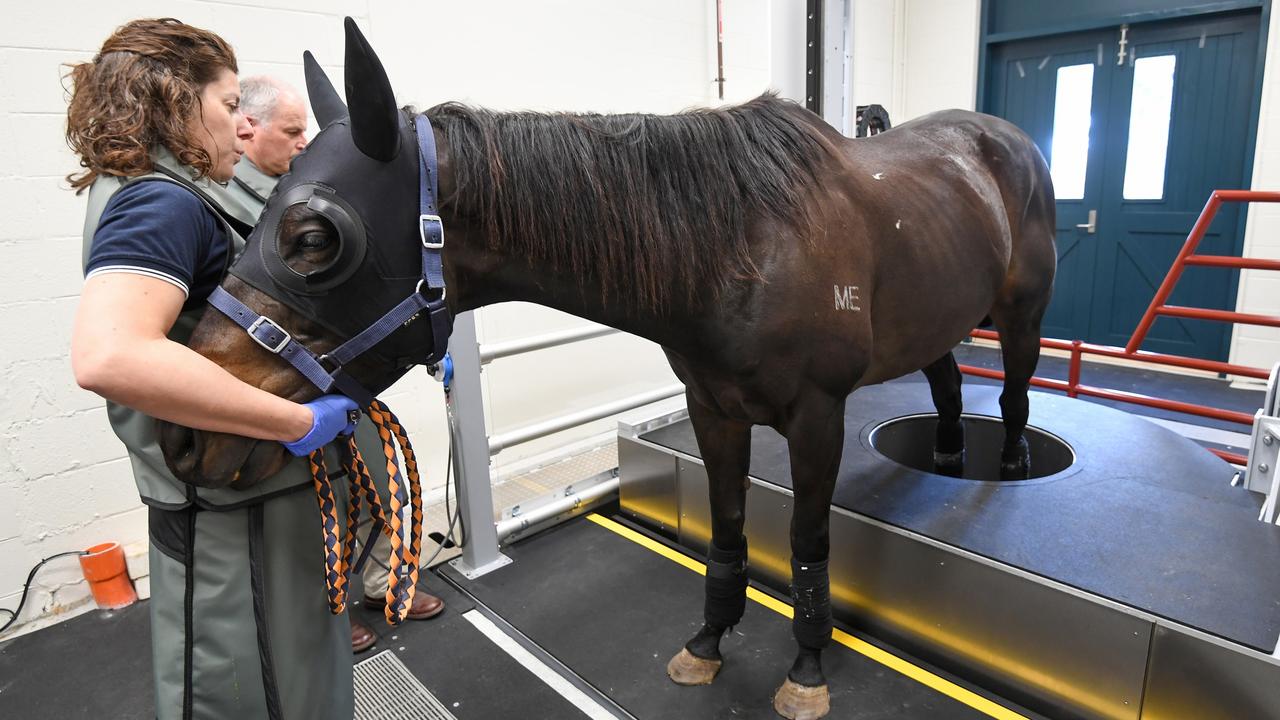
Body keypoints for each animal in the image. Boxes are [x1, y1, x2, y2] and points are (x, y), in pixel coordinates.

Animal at [157, 16, 1049, 717]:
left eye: (314, 238)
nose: (184, 441)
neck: (741, 243)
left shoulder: (816, 419)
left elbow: (805, 540)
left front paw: (806, 669)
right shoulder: (714, 410)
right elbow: (728, 533)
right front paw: (708, 643)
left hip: (1021, 317)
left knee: (1009, 400)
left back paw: (1005, 468)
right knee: (947, 391)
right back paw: (944, 460)